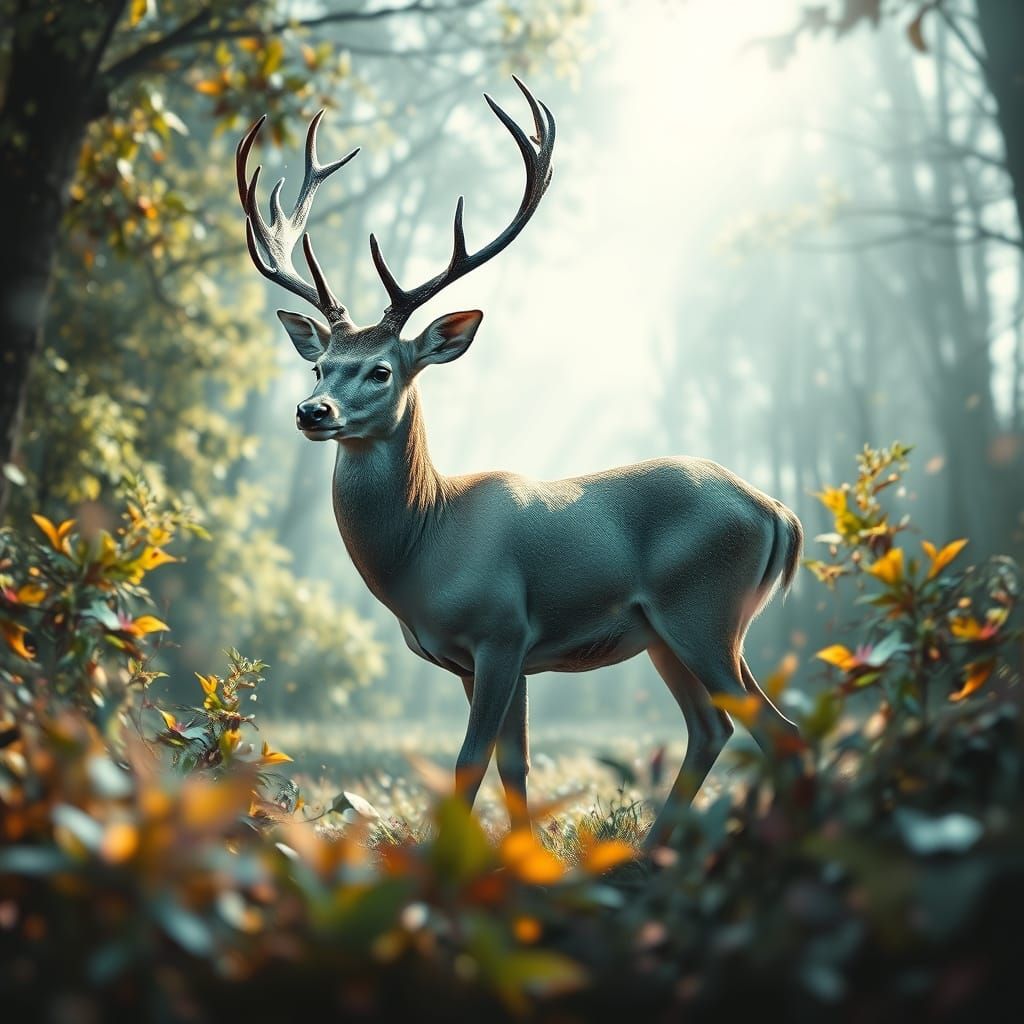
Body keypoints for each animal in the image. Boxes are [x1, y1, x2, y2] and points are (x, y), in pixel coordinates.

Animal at [235, 78, 805, 848]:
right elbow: (514, 764)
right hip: (666, 632)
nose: (311, 411)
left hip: (707, 611)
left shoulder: (502, 630)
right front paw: (520, 856)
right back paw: (654, 850)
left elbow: (470, 761)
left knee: (772, 729)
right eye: (321, 365)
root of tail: (777, 513)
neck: (425, 546)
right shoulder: (482, 658)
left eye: (381, 370)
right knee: (711, 728)